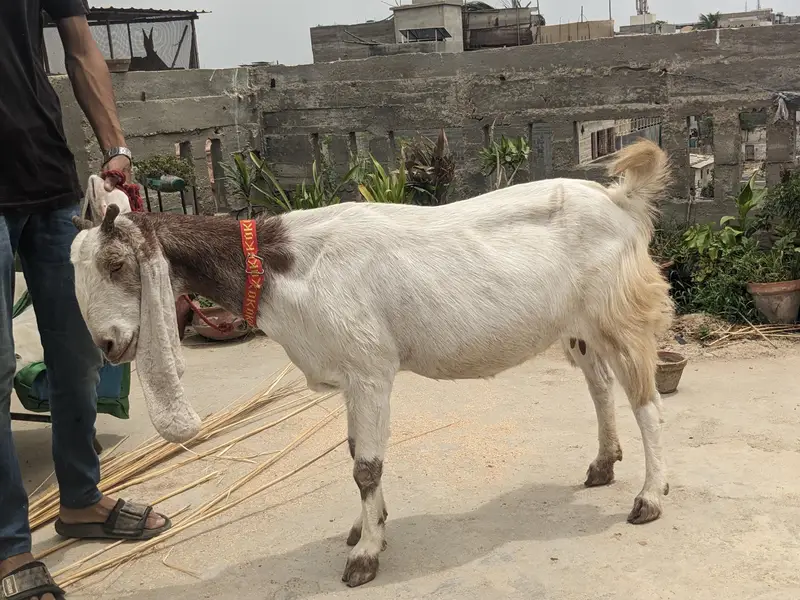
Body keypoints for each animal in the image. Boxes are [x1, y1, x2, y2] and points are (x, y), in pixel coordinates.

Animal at [70, 139, 674, 587]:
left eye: (117, 263)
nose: (108, 345)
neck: (279, 264)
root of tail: (622, 200)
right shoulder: (348, 376)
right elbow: (354, 453)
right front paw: (367, 528)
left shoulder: (369, 369)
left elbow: (366, 467)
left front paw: (365, 557)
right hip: (581, 327)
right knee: (600, 386)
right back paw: (604, 464)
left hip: (620, 314)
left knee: (647, 402)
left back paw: (649, 496)